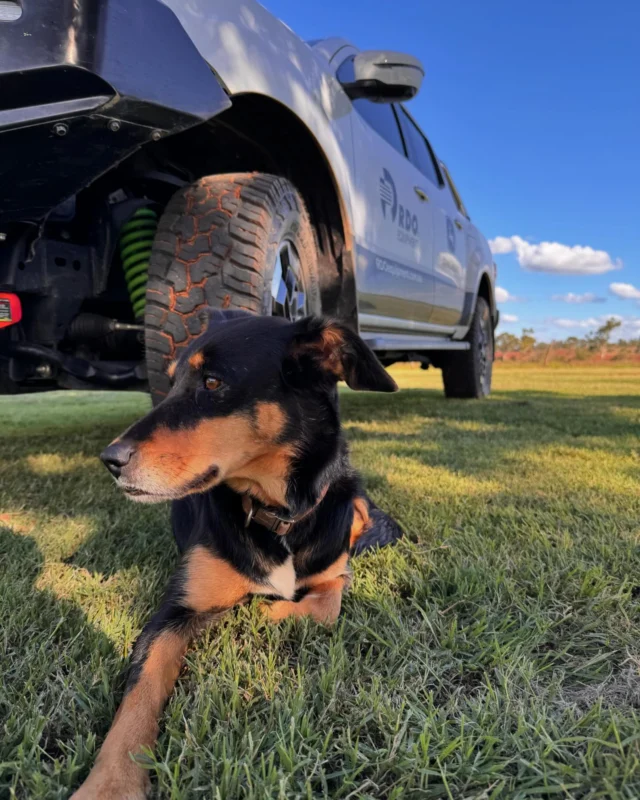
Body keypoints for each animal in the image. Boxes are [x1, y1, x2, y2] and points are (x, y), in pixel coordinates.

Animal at [71, 310, 400, 796]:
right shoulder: (174, 613)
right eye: (171, 383)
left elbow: (327, 605)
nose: (109, 459)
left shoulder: (333, 573)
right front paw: (110, 783)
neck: (278, 514)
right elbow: (138, 696)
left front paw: (264, 613)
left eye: (211, 382)